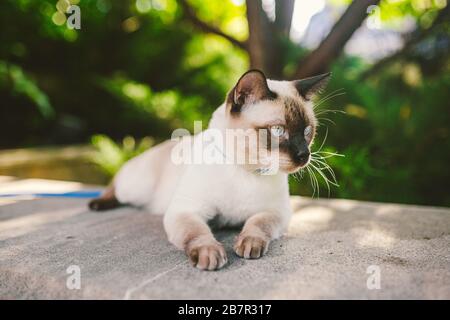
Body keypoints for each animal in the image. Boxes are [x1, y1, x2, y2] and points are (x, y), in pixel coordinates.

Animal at [89, 70, 330, 270]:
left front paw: (249, 245)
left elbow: (257, 226)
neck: (245, 170)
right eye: (279, 130)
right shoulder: (187, 211)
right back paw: (98, 204)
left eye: (308, 131)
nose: (304, 155)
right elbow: (198, 234)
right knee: (115, 184)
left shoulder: (274, 212)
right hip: (136, 188)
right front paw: (210, 255)